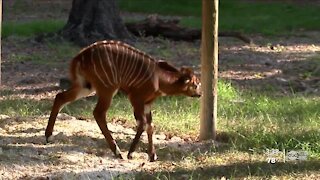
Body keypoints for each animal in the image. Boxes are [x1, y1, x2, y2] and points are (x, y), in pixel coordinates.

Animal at [45, 40, 200, 161]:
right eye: (196, 84)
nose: (200, 94)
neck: (158, 78)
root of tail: (79, 57)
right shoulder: (136, 98)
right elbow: (142, 124)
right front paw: (131, 154)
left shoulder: (147, 104)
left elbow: (150, 125)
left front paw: (152, 156)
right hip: (108, 88)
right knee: (98, 113)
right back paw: (117, 152)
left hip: (85, 87)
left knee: (60, 97)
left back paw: (48, 136)